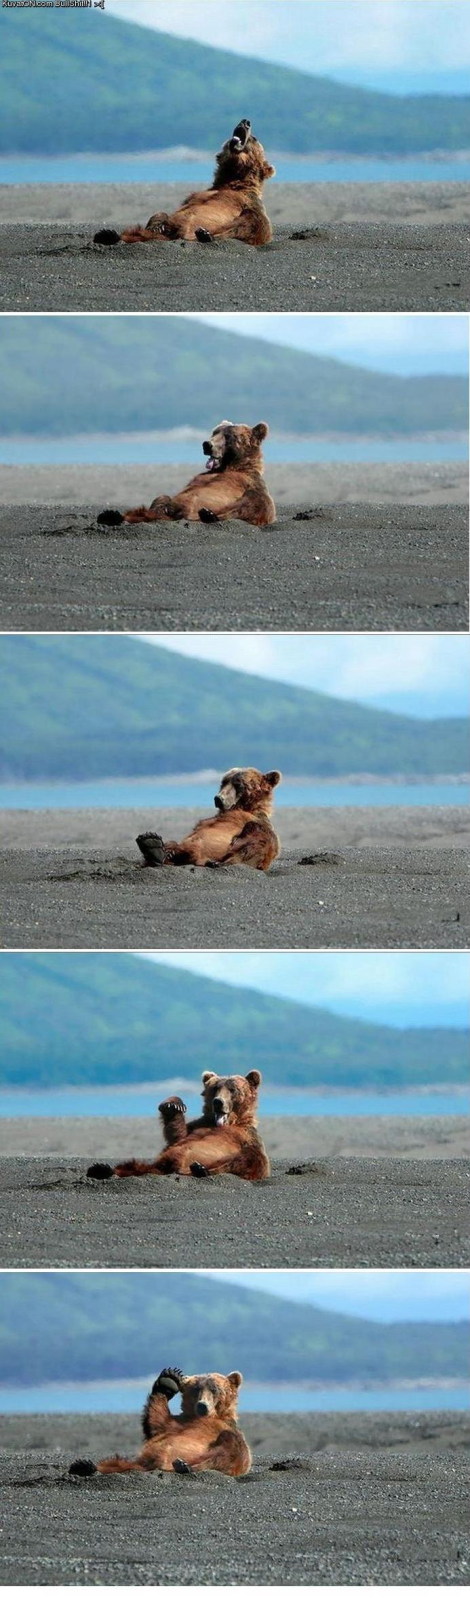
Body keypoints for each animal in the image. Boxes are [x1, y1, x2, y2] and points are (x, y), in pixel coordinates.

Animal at [69, 1366, 251, 1478]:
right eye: (196, 1389)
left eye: (214, 1389)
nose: (202, 1406)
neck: (207, 1418)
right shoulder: (177, 1425)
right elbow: (157, 1420)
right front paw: (168, 1380)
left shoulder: (224, 1429)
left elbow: (235, 1451)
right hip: (136, 1462)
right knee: (116, 1463)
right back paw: (85, 1466)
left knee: (227, 1450)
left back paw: (185, 1465)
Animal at [87, 1068, 270, 1184]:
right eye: (215, 1088)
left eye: (232, 1089)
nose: (218, 1102)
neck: (224, 1123)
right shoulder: (197, 1127)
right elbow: (177, 1135)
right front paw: (173, 1105)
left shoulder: (247, 1137)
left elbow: (257, 1161)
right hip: (157, 1164)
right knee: (133, 1166)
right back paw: (101, 1169)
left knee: (244, 1160)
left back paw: (200, 1169)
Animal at [93, 119, 275, 249]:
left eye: (255, 138)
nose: (245, 122)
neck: (234, 180)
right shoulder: (196, 196)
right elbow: (166, 212)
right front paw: (157, 224)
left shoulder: (250, 204)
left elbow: (256, 227)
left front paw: (206, 234)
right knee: (136, 233)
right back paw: (108, 235)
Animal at [96, 421, 276, 530]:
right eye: (215, 432)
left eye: (229, 436)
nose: (207, 444)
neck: (230, 467)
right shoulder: (198, 479)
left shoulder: (251, 485)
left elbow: (259, 507)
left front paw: (210, 514)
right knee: (160, 500)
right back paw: (111, 515)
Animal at [135, 766, 282, 872]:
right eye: (224, 782)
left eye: (238, 784)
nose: (218, 798)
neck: (244, 808)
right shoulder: (205, 823)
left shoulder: (259, 823)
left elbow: (260, 838)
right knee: (172, 845)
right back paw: (153, 845)